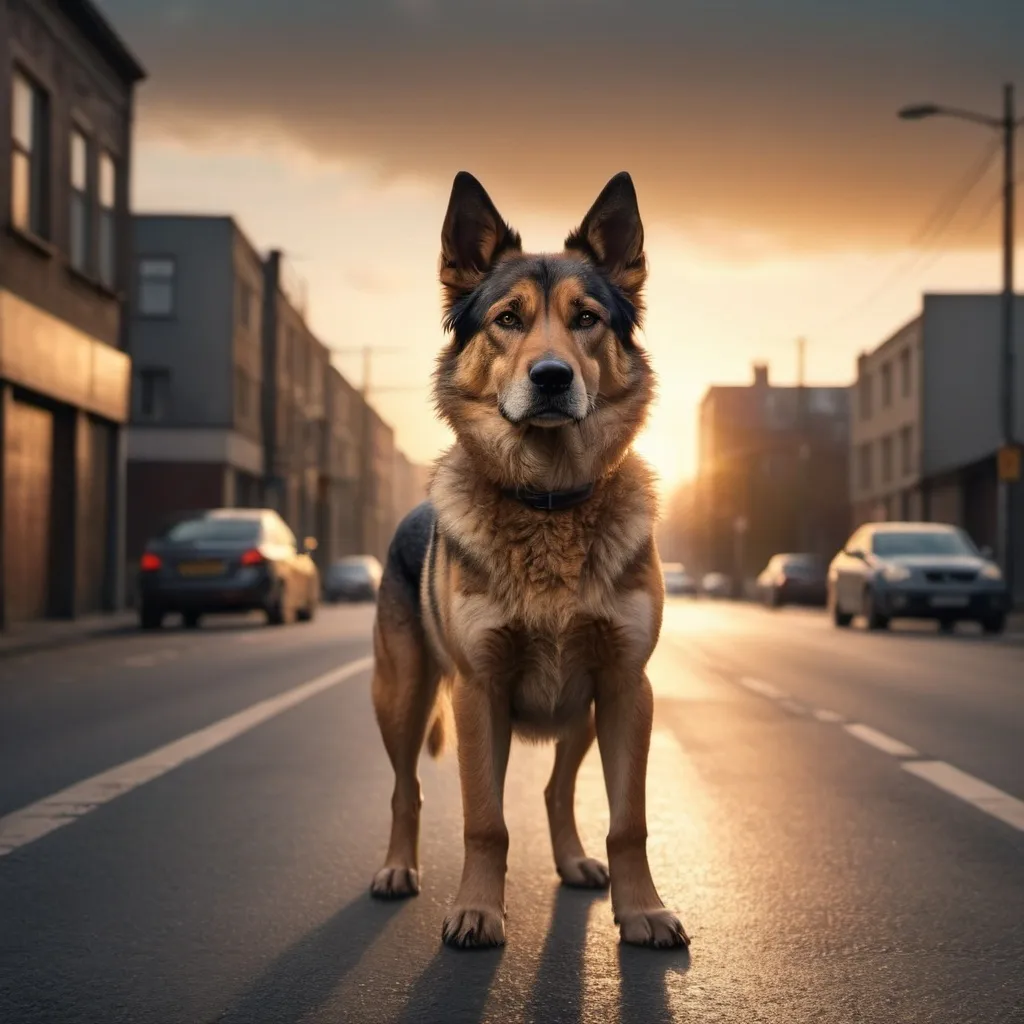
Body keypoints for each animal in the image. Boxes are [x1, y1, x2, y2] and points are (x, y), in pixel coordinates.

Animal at [368, 169, 688, 950]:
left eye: (587, 318)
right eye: (507, 319)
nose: (550, 377)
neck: (548, 502)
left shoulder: (626, 687)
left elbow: (628, 823)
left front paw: (642, 909)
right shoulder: (477, 692)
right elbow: (486, 822)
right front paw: (477, 910)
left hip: (583, 710)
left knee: (555, 789)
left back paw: (573, 861)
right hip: (402, 697)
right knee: (405, 789)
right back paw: (396, 869)